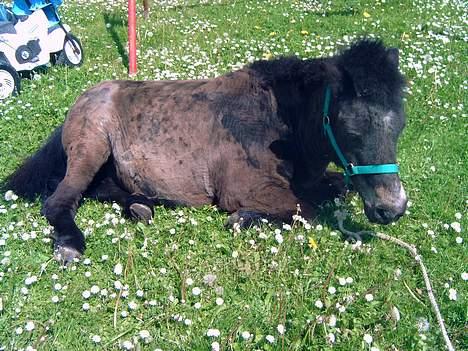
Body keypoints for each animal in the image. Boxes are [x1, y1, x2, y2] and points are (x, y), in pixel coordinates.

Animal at [3, 39, 406, 264]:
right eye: (350, 129)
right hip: (91, 147)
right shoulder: (243, 190)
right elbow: (303, 207)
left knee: (102, 190)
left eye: (399, 124)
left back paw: (140, 206)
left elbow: (338, 187)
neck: (274, 121)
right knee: (61, 200)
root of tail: (82, 99)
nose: (392, 209)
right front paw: (243, 219)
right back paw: (71, 244)